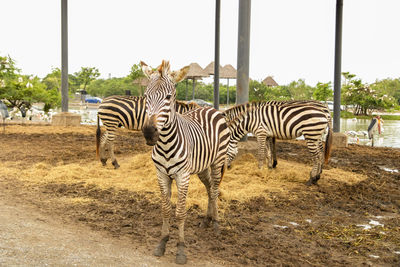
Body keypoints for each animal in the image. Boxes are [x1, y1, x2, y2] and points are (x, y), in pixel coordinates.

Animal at [141, 61, 230, 266]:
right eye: (146, 96)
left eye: (168, 97)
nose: (149, 132)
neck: (165, 143)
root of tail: (211, 108)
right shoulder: (161, 174)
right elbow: (166, 210)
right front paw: (162, 243)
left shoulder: (182, 176)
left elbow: (180, 212)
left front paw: (181, 249)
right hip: (202, 167)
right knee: (209, 189)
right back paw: (206, 220)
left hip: (217, 161)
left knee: (215, 190)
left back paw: (216, 224)